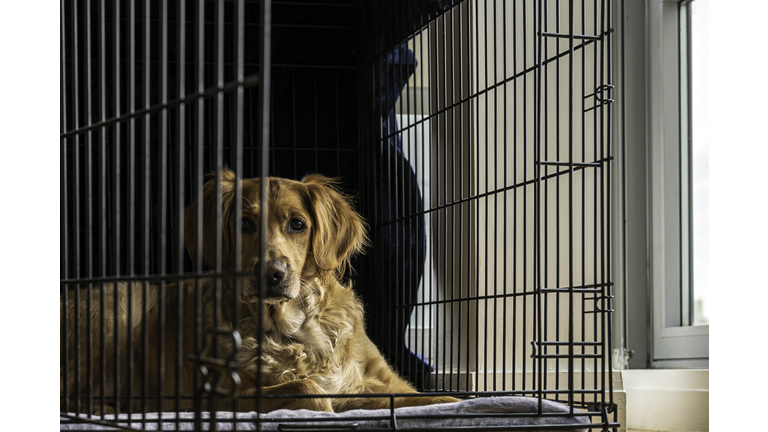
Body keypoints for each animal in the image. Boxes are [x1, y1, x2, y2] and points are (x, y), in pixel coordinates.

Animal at [61, 170, 456, 416]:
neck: (297, 328)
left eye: (297, 224)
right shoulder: (219, 395)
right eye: (244, 224)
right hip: (122, 304)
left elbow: (440, 398)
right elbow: (310, 390)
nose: (271, 273)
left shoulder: (384, 382)